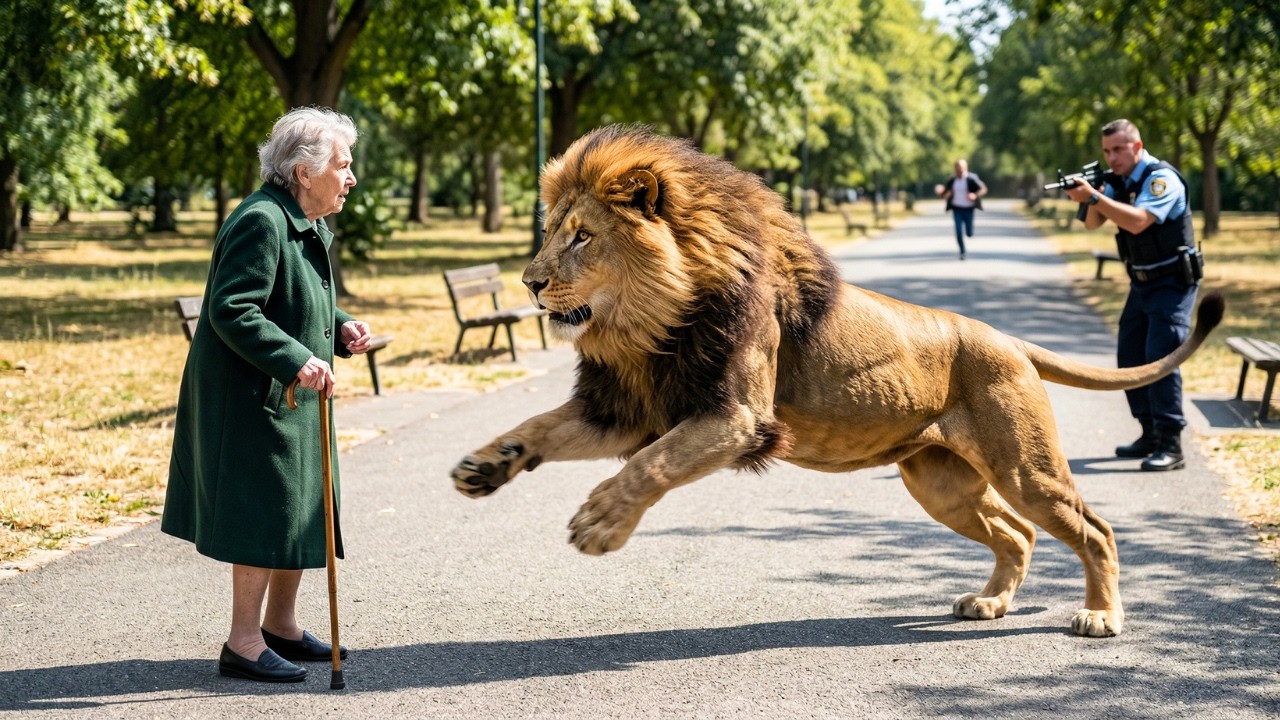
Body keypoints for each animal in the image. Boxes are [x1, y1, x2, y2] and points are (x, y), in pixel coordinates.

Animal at [450, 125, 1224, 638]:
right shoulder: (627, 408)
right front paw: (485, 464)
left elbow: (651, 465)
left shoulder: (736, 418)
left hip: (1023, 466)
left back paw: (1099, 615)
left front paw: (601, 522)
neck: (647, 323)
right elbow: (539, 428)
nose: (530, 282)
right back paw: (990, 603)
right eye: (551, 231)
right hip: (939, 482)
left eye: (582, 236)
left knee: (1094, 528)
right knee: (1018, 534)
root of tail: (1005, 339)